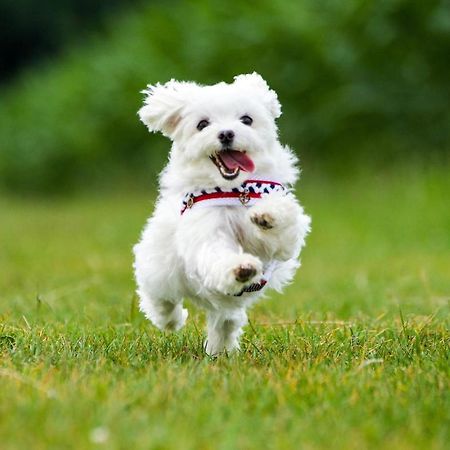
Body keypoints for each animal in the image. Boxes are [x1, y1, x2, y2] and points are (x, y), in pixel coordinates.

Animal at [133, 73, 310, 356]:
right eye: (202, 124)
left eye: (247, 119)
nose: (226, 133)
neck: (234, 190)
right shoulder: (206, 233)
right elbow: (217, 253)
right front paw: (241, 268)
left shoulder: (280, 241)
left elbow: (283, 228)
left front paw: (266, 215)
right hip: (160, 270)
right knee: (161, 301)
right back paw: (172, 320)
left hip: (225, 308)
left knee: (224, 321)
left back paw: (220, 351)